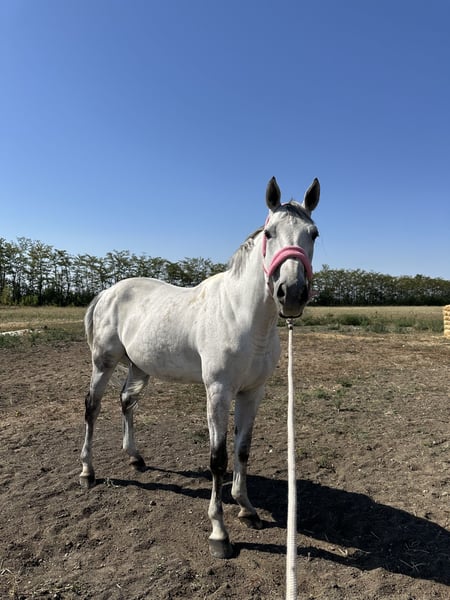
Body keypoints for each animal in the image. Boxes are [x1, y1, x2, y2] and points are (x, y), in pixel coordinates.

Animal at [80, 175, 320, 559]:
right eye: (270, 233)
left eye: (313, 233)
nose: (292, 292)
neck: (243, 317)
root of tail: (108, 292)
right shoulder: (218, 392)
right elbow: (218, 458)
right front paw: (219, 534)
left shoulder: (253, 392)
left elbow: (242, 450)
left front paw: (247, 509)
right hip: (103, 363)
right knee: (93, 407)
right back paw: (87, 472)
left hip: (139, 367)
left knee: (126, 402)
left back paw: (135, 458)